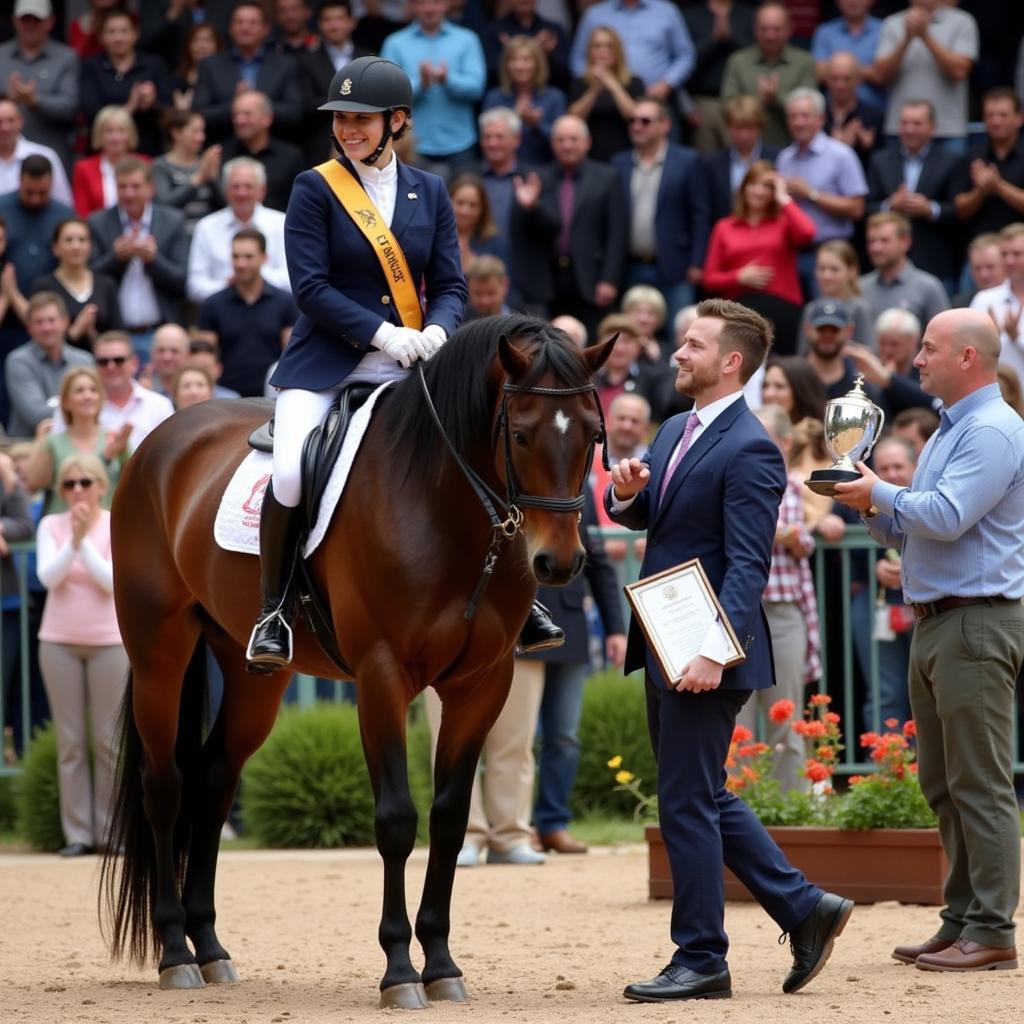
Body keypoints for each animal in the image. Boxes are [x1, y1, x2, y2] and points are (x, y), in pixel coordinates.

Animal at [99, 315, 614, 1011]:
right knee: (165, 787)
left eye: (591, 434)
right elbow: (396, 820)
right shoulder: (381, 676)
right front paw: (399, 970)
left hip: (253, 676)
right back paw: (176, 952)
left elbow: (448, 819)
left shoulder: (482, 685)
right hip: (160, 653)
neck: (443, 505)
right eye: (521, 433)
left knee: (213, 778)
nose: (557, 564)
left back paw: (211, 950)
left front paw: (442, 964)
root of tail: (158, 442)